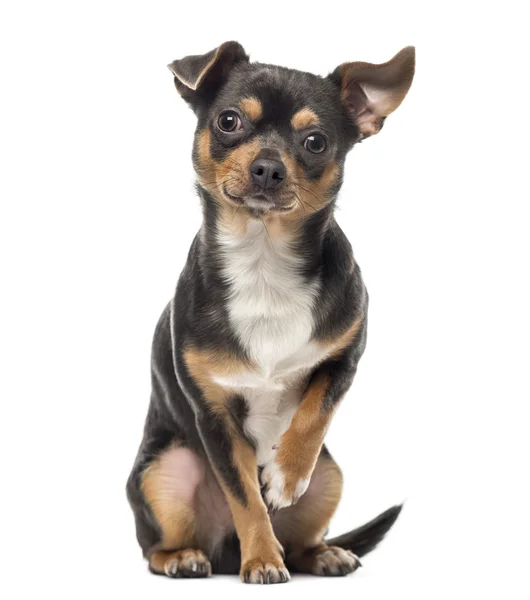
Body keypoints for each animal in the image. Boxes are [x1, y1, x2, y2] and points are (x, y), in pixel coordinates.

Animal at [127, 42, 412, 584]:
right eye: (229, 121)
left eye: (316, 142)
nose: (268, 167)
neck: (264, 262)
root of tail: (222, 552)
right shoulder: (215, 415)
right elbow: (246, 498)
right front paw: (261, 558)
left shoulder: (344, 360)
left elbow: (312, 416)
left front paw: (283, 477)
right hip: (163, 470)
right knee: (155, 547)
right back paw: (185, 558)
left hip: (330, 474)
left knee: (301, 539)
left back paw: (322, 553)